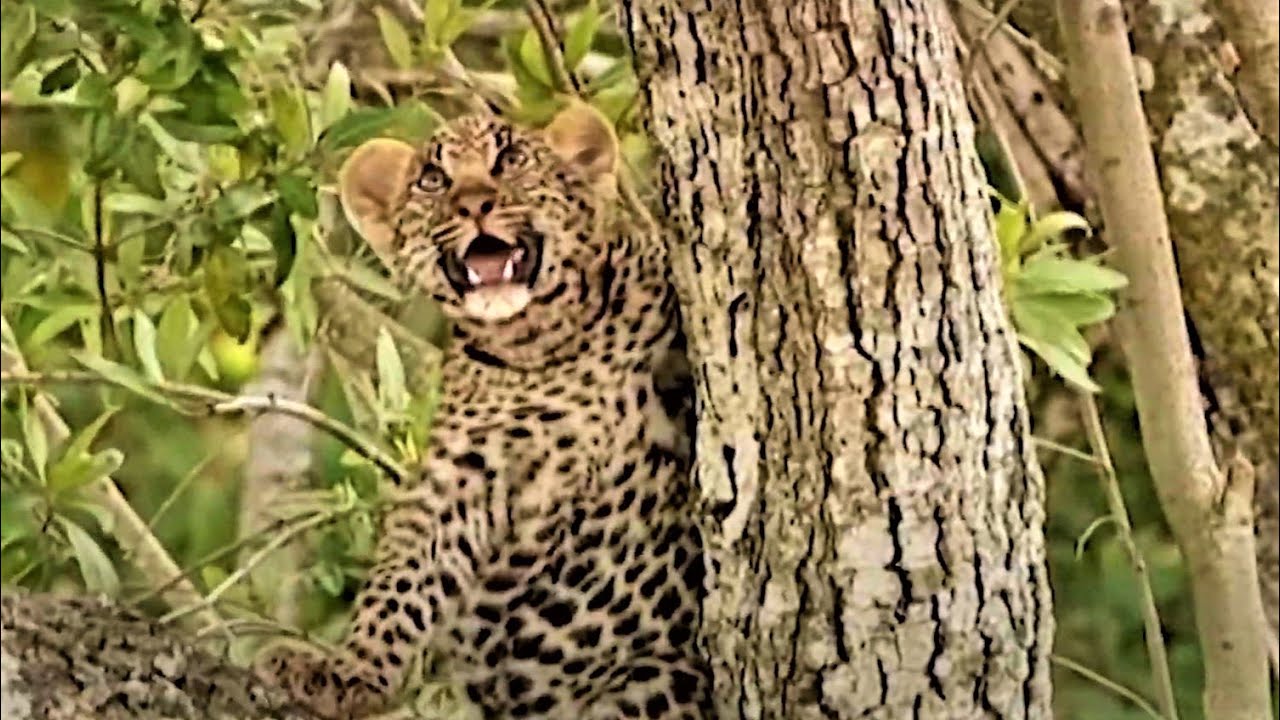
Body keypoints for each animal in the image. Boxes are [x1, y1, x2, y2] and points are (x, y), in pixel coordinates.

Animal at [255, 103, 711, 720]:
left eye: (511, 159)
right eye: (432, 179)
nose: (474, 204)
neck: (545, 347)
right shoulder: (465, 470)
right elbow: (404, 573)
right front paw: (352, 671)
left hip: (655, 678)